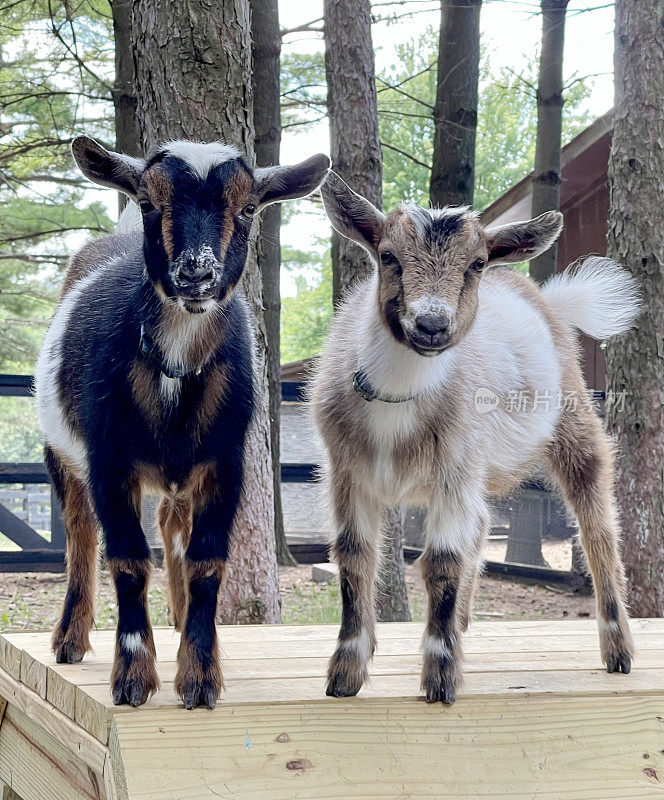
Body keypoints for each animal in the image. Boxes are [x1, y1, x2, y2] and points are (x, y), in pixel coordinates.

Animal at [35, 134, 328, 708]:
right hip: (61, 453)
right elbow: (127, 558)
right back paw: (70, 640)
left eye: (248, 207)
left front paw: (199, 675)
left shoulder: (227, 462)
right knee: (80, 531)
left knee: (172, 524)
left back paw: (175, 618)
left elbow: (207, 561)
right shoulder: (109, 460)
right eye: (150, 201)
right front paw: (132, 676)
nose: (196, 272)